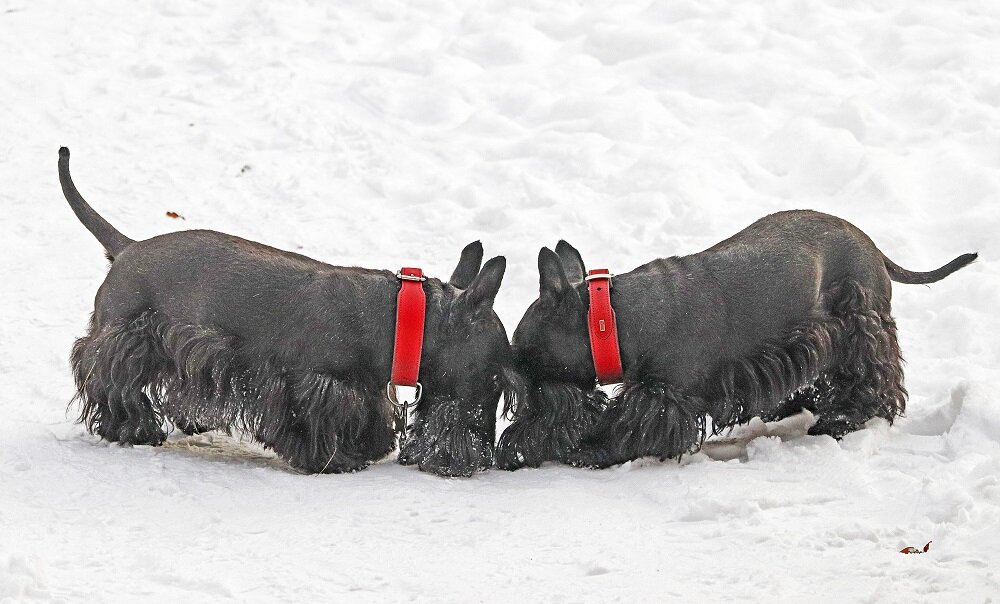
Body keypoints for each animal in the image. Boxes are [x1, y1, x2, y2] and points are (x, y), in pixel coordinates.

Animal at [59, 147, 512, 476]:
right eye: (494, 379)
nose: (482, 459)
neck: (405, 317)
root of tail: (126, 247)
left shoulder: (360, 388)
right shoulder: (314, 384)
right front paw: (336, 461)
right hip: (123, 339)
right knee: (110, 384)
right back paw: (134, 428)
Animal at [498, 210, 976, 470]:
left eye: (523, 359)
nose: (511, 448)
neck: (612, 320)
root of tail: (875, 248)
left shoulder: (664, 398)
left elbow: (626, 429)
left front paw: (587, 448)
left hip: (860, 327)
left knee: (876, 383)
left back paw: (840, 421)